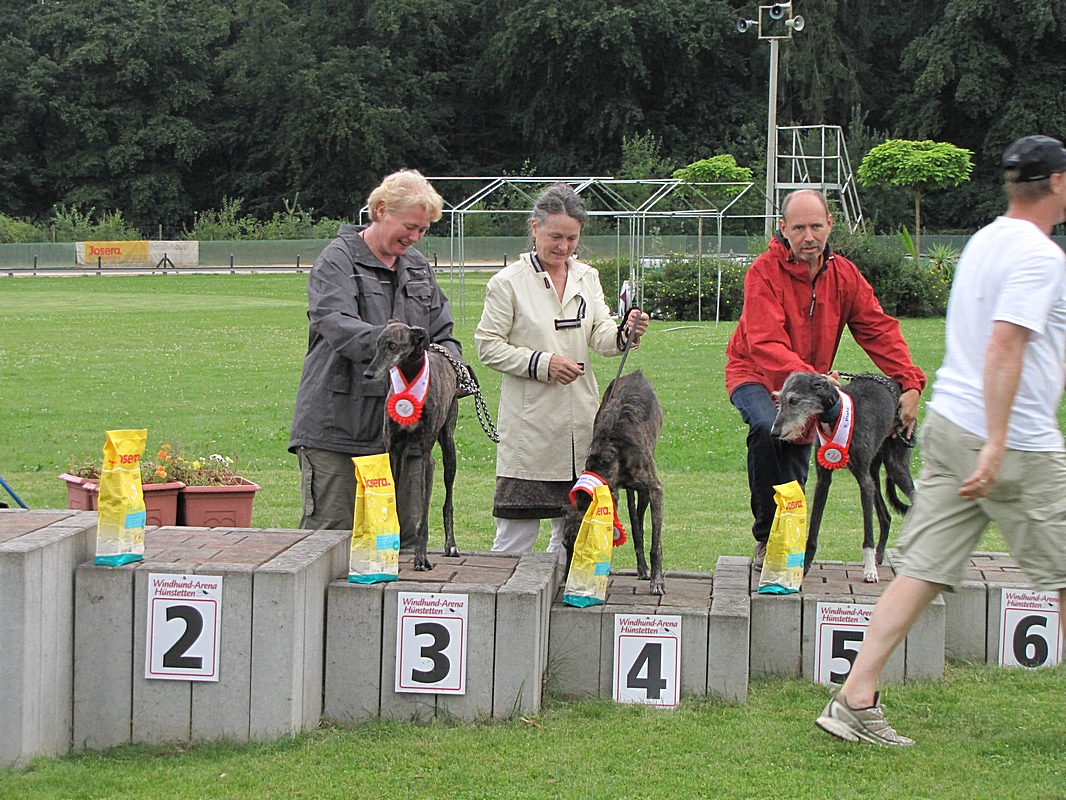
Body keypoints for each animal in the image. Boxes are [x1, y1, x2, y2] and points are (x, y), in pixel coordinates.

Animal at [364, 321, 460, 571]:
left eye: (392, 345)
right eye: (377, 343)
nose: (368, 373)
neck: (410, 379)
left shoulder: (427, 458)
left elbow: (423, 516)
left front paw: (420, 557)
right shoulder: (393, 451)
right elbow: (394, 501)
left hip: (448, 448)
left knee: (448, 502)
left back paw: (451, 545)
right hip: (405, 451)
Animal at [563, 370, 666, 595]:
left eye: (582, 551)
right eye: (565, 546)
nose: (565, 583)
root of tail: (636, 373)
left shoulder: (655, 490)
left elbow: (656, 545)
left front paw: (657, 581)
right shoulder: (612, 493)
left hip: (644, 492)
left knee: (638, 524)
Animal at [771, 372, 915, 583]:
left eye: (794, 400)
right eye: (779, 400)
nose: (774, 432)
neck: (836, 414)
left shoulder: (863, 480)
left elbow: (868, 533)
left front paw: (869, 571)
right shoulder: (823, 480)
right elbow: (813, 529)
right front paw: (805, 567)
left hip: (896, 467)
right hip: (874, 473)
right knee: (886, 516)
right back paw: (880, 556)